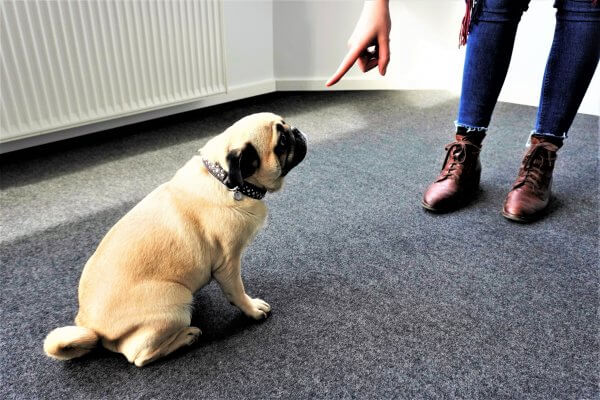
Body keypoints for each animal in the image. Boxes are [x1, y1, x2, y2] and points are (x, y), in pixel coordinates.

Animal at [43, 112, 307, 367]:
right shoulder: (228, 264)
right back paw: (186, 337)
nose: (297, 131)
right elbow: (237, 292)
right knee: (138, 356)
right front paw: (252, 309)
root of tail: (90, 325)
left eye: (287, 126)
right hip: (177, 300)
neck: (222, 179)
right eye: (282, 142)